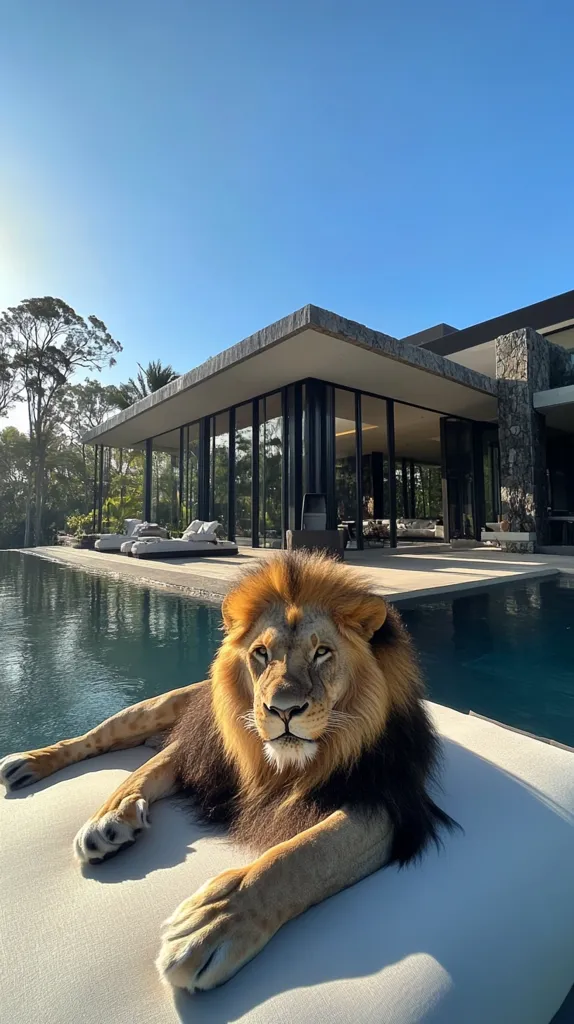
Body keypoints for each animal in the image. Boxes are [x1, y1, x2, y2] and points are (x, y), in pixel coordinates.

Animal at [0, 551, 456, 993]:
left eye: (322, 652)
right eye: (261, 654)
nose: (283, 710)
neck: (282, 764)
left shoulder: (388, 803)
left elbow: (301, 855)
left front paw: (211, 926)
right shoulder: (199, 753)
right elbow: (140, 774)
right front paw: (108, 816)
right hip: (152, 709)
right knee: (96, 737)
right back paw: (27, 763)